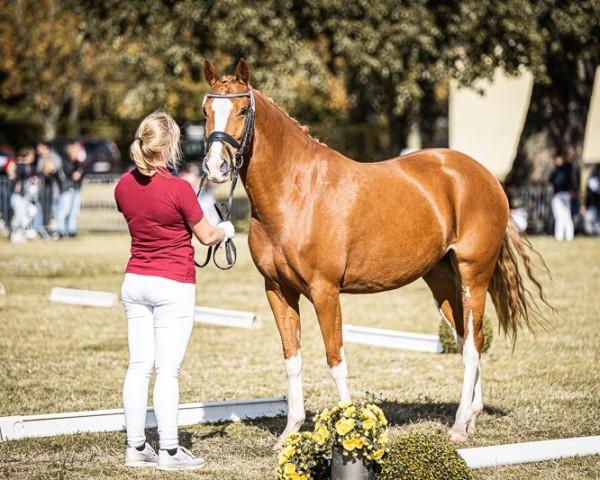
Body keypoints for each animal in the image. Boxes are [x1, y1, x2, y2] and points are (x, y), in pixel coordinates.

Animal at [203, 60, 552, 446]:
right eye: (206, 110)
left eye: (243, 110)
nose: (215, 167)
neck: (296, 193)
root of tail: (485, 177)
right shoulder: (278, 291)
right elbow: (292, 359)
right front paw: (290, 432)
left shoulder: (325, 291)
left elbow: (335, 359)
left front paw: (347, 430)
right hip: (443, 280)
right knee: (468, 338)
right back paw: (472, 417)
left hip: (473, 276)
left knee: (474, 346)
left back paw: (459, 426)